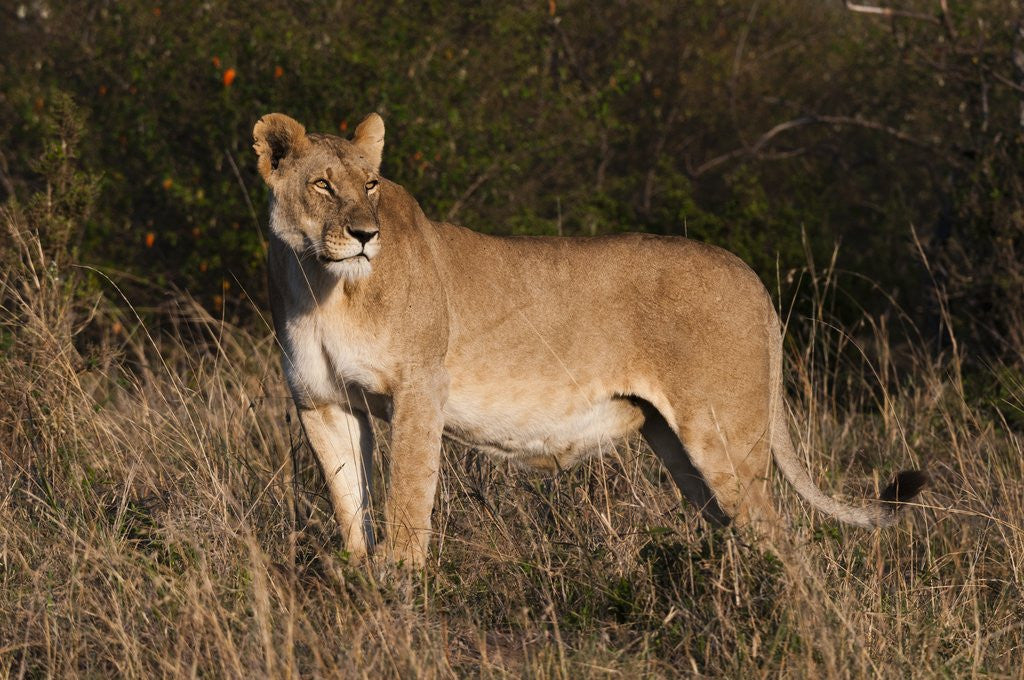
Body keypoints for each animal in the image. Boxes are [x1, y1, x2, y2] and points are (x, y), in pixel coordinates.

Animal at [253, 112, 926, 566]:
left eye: (370, 185)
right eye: (321, 185)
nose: (365, 235)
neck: (322, 284)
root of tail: (750, 276)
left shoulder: (421, 390)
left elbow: (407, 500)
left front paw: (401, 587)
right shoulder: (324, 403)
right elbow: (350, 502)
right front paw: (360, 580)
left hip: (725, 433)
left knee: (781, 537)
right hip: (680, 447)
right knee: (740, 526)